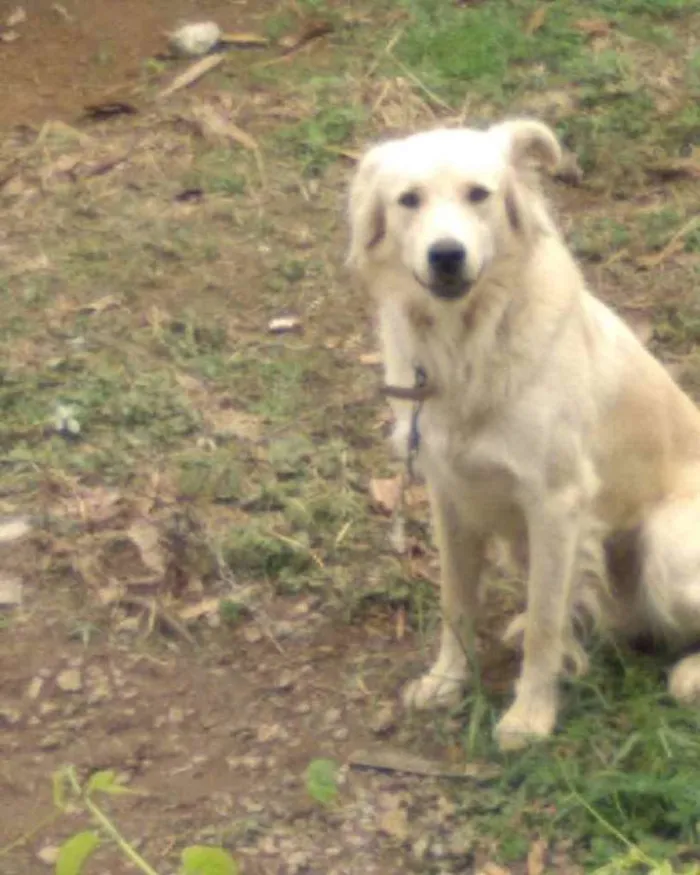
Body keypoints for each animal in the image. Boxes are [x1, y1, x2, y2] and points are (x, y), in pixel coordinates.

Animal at [350, 116, 700, 748]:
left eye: (478, 194)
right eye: (409, 200)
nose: (446, 255)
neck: (468, 340)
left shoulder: (556, 503)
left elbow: (543, 622)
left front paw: (531, 716)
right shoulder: (449, 496)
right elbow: (456, 601)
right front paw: (447, 681)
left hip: (665, 539)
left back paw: (688, 675)